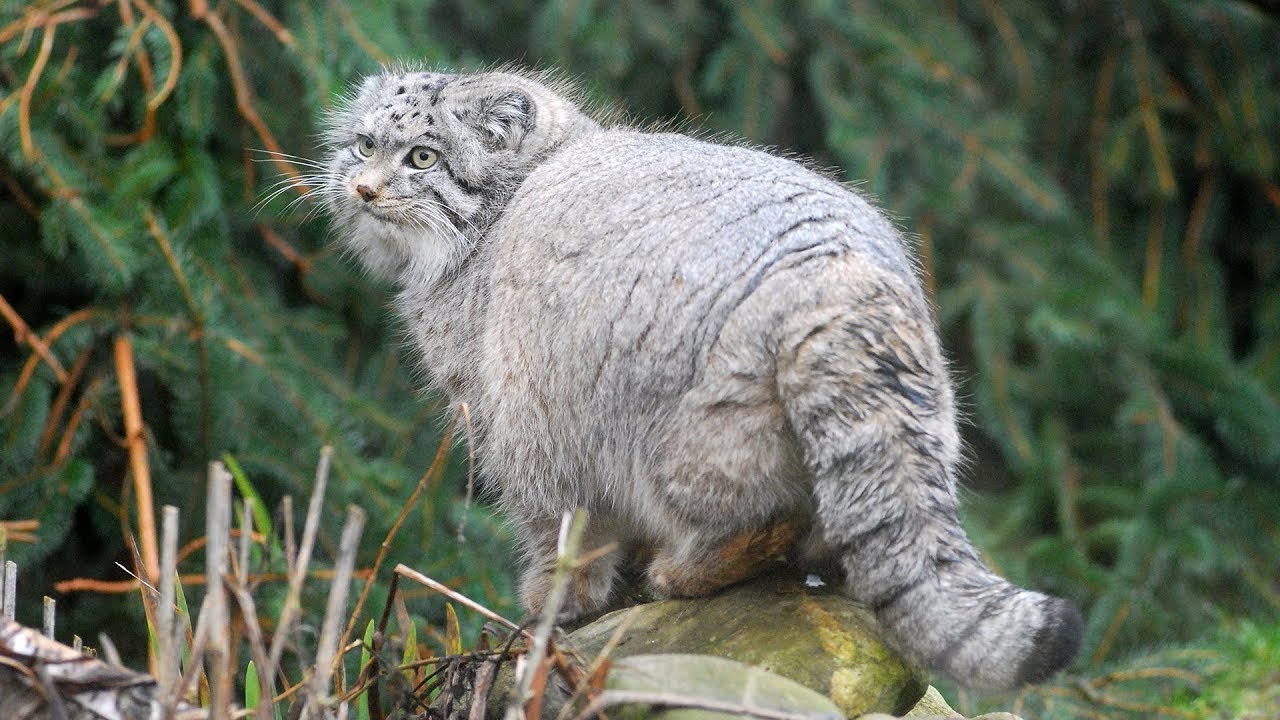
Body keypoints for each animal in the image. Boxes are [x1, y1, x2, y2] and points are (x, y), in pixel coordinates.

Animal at [314, 68, 1075, 691]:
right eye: (363, 145)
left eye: (422, 156)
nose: (362, 188)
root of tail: (838, 277)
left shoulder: (520, 426)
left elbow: (562, 534)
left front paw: (552, 606)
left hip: (675, 442)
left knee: (749, 514)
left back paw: (685, 570)